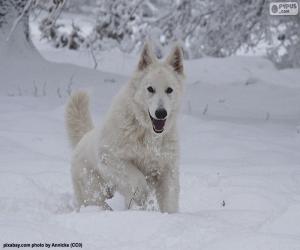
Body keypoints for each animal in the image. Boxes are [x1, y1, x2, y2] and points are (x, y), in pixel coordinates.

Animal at [64, 43, 184, 213]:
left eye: (169, 90)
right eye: (150, 89)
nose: (161, 113)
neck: (145, 131)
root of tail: (84, 137)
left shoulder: (167, 169)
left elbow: (170, 201)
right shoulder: (111, 157)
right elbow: (138, 180)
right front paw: (141, 200)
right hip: (94, 195)